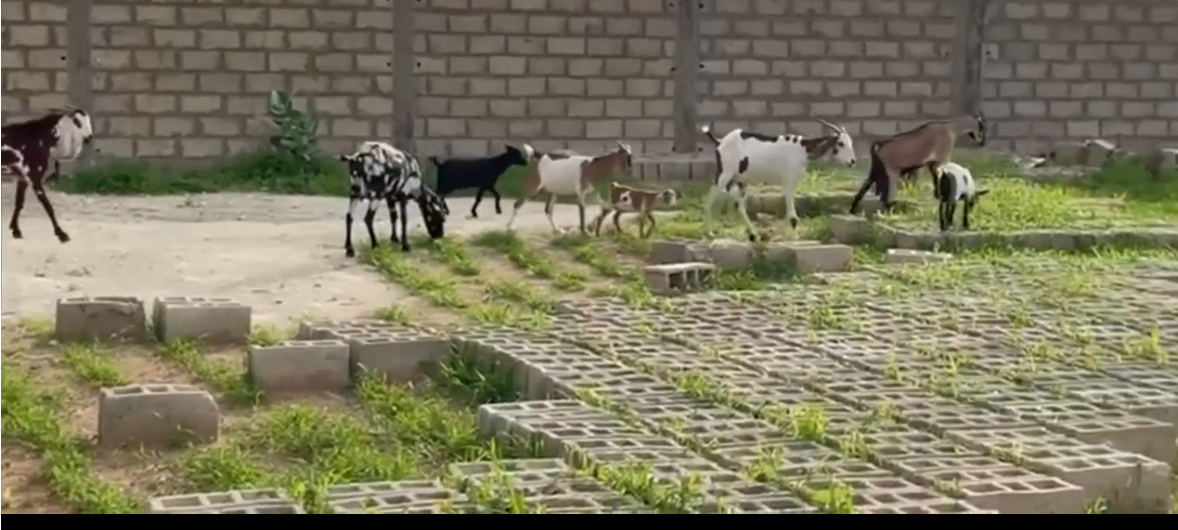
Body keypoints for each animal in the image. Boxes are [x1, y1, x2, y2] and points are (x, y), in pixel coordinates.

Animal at [1, 106, 94, 243]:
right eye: (76, 121)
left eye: (88, 120)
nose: (88, 137)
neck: (40, 138)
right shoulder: (35, 178)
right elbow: (48, 206)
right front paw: (61, 234)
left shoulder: (23, 178)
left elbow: (19, 203)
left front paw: (16, 230)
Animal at [506, 140, 636, 234]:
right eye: (626, 157)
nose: (630, 172)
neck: (593, 167)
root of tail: (539, 156)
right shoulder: (581, 192)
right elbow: (583, 209)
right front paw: (584, 231)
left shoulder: (592, 193)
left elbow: (606, 206)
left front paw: (590, 227)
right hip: (533, 187)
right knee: (517, 204)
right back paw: (509, 227)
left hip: (554, 191)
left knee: (548, 210)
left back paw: (557, 229)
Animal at [697, 121, 857, 241]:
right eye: (841, 143)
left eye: (851, 142)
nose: (852, 162)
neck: (802, 149)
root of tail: (720, 141)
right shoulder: (789, 182)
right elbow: (793, 216)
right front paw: (795, 238)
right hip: (724, 174)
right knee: (709, 199)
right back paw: (710, 232)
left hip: (741, 180)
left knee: (739, 205)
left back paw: (753, 234)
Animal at [852, 113, 989, 215]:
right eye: (982, 128)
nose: (982, 143)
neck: (951, 128)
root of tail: (879, 145)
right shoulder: (940, 162)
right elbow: (939, 178)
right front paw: (940, 195)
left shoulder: (931, 164)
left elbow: (935, 179)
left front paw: (937, 195)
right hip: (891, 173)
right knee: (885, 197)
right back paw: (892, 209)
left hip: (875, 171)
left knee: (864, 188)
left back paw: (854, 208)